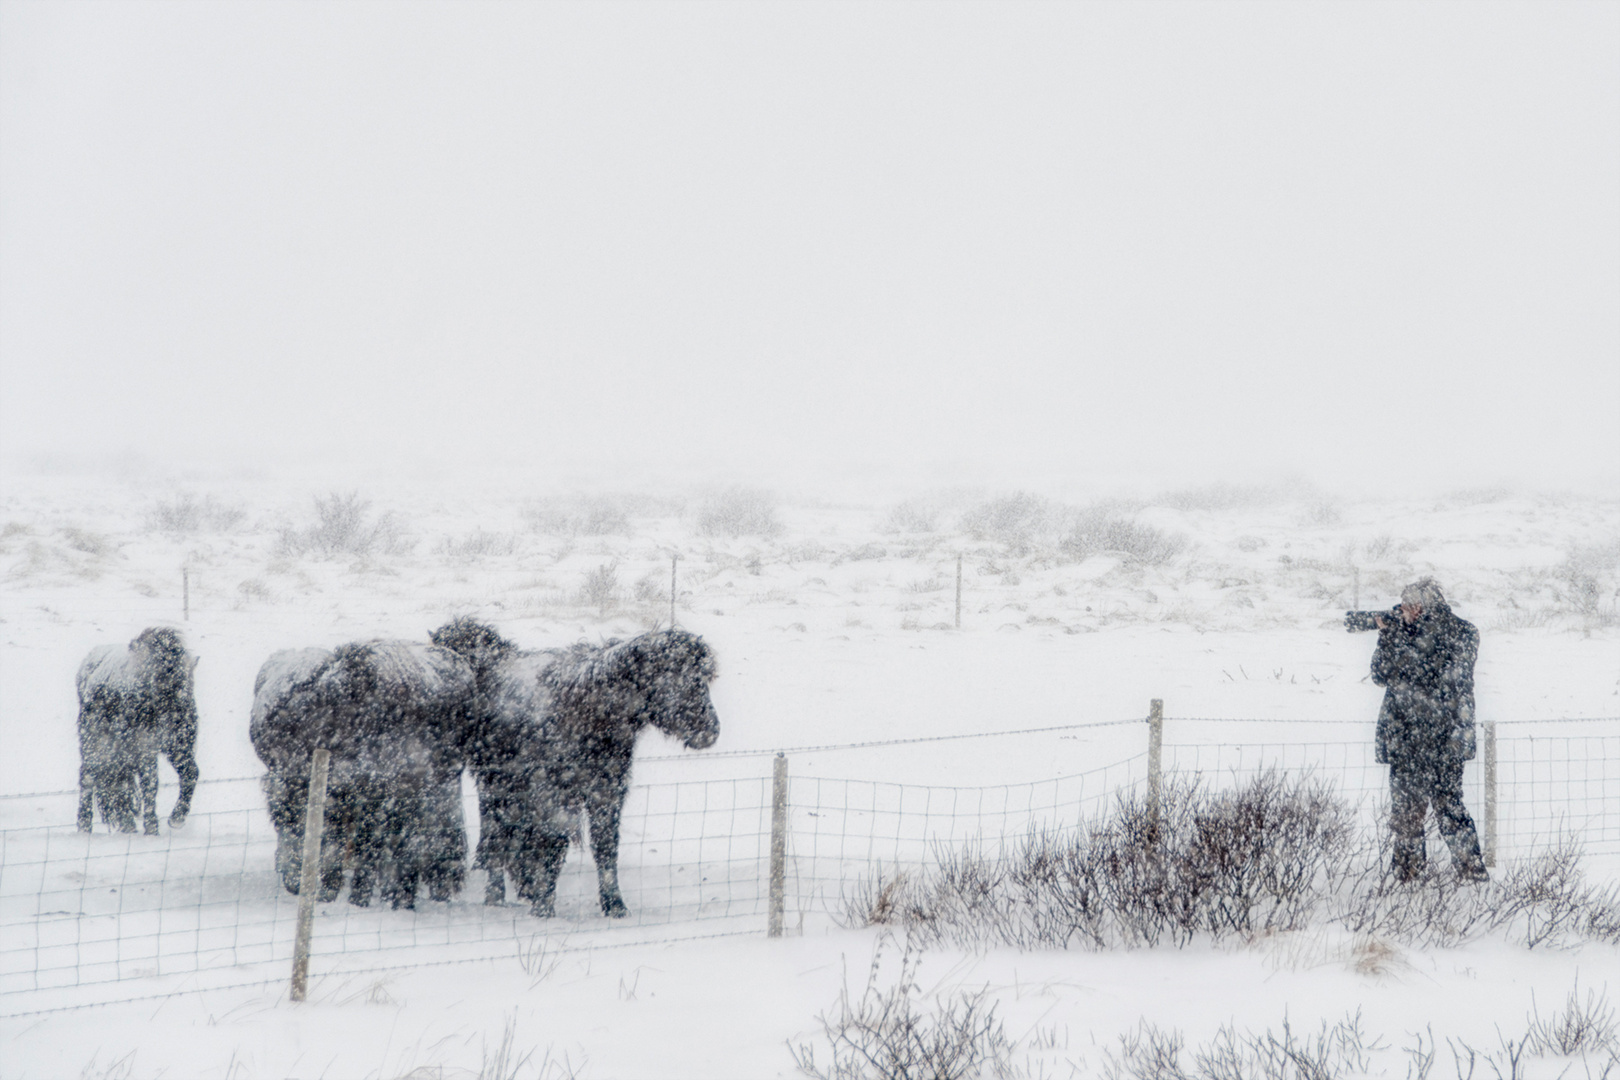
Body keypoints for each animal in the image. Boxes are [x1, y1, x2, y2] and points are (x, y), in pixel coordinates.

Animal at [75, 625, 200, 835]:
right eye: (159, 679)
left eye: (188, 683)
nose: (180, 723)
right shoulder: (143, 750)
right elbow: (150, 784)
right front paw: (152, 828)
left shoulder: (178, 749)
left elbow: (190, 773)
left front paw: (177, 819)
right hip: (95, 745)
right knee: (88, 777)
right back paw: (84, 826)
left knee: (118, 782)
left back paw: (127, 824)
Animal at [434, 621, 719, 919]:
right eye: (683, 676)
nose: (710, 730)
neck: (586, 711)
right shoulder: (554, 796)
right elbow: (553, 845)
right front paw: (543, 907)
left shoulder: (606, 793)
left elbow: (605, 847)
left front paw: (615, 905)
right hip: (494, 783)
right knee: (496, 831)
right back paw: (496, 894)